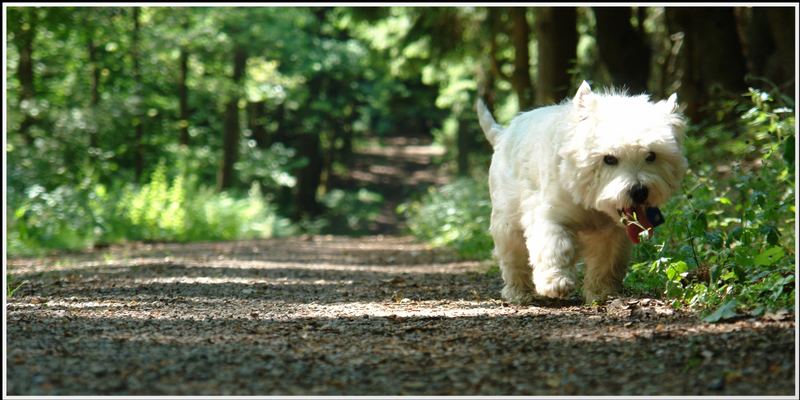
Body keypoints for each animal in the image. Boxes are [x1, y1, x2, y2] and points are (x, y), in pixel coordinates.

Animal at [476, 80, 688, 304]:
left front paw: (601, 292)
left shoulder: (610, 232)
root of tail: (503, 133)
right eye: (609, 158)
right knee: (512, 255)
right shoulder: (549, 215)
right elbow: (554, 246)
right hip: (507, 218)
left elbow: (606, 261)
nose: (639, 192)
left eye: (651, 156)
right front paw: (556, 282)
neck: (590, 203)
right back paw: (518, 292)